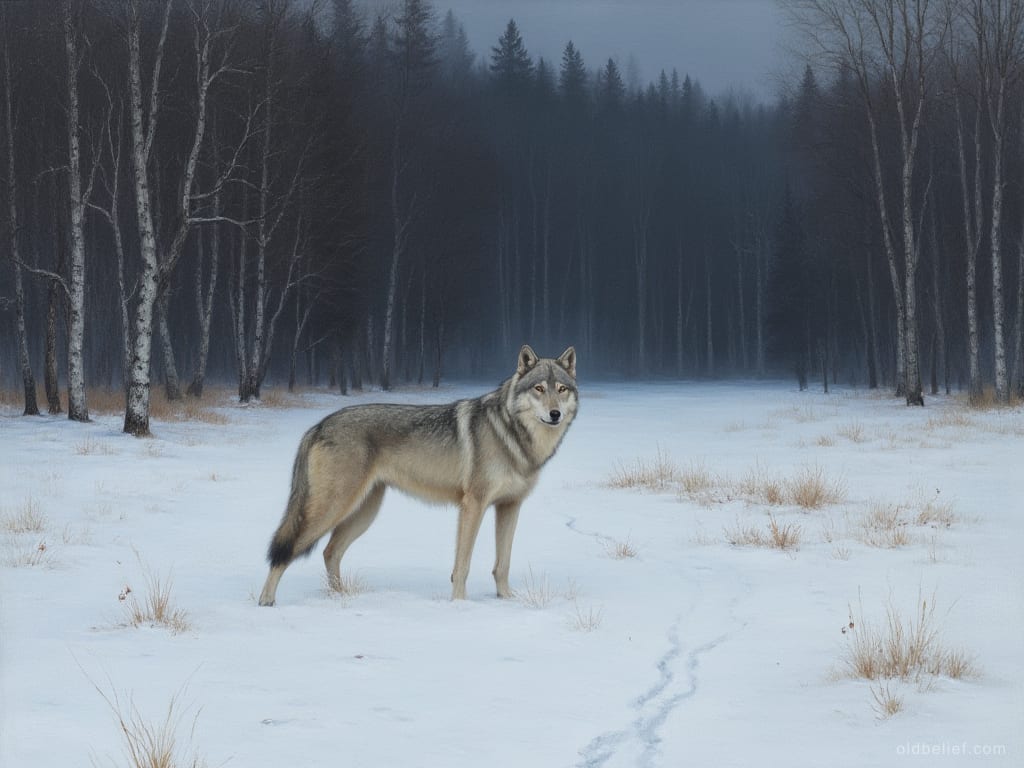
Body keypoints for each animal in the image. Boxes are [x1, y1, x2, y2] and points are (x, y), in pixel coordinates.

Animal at [258, 345, 578, 605]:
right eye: (539, 389)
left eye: (561, 389)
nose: (555, 414)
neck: (513, 435)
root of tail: (317, 425)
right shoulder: (473, 506)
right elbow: (462, 565)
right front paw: (460, 605)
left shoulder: (510, 506)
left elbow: (503, 563)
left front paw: (507, 600)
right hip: (332, 509)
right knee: (286, 551)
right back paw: (267, 601)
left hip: (364, 513)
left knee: (330, 552)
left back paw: (340, 598)